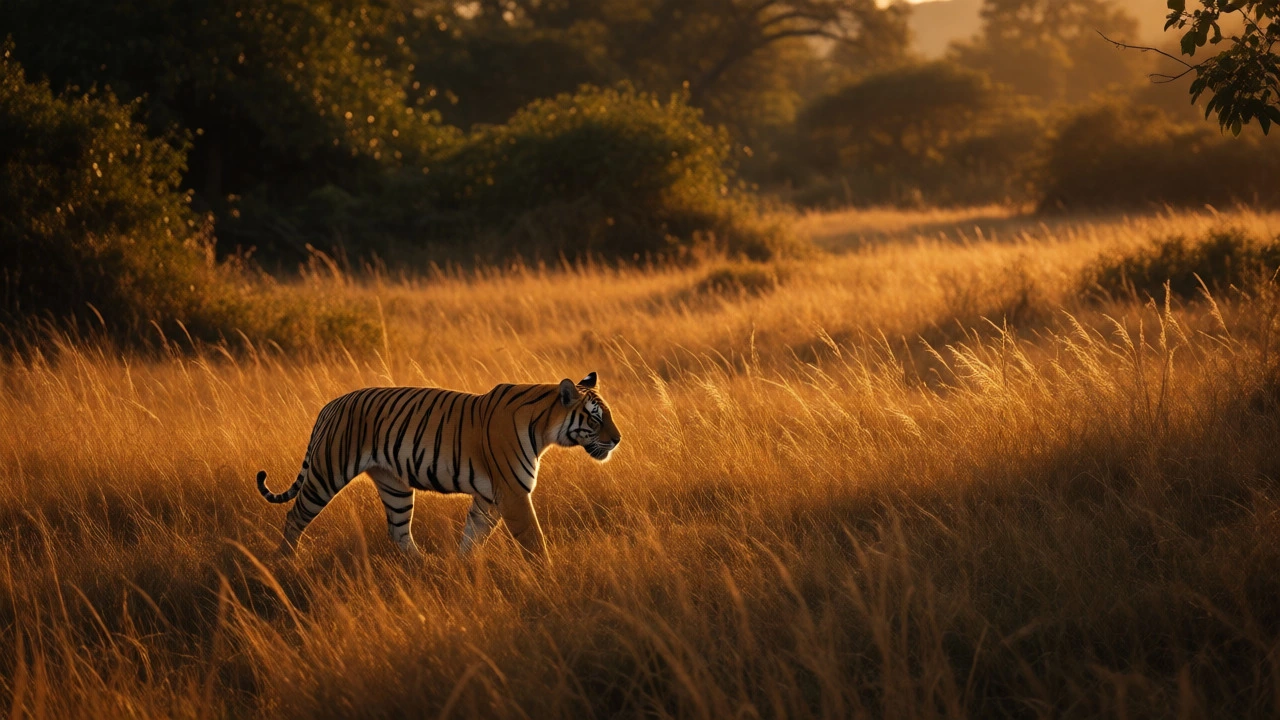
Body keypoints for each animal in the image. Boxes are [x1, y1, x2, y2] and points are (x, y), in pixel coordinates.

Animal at [255, 372, 620, 559]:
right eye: (595, 418)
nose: (617, 440)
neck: (545, 427)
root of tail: (330, 405)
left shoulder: (489, 498)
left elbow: (473, 536)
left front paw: (462, 569)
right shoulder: (514, 494)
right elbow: (534, 541)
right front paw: (548, 575)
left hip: (395, 487)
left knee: (398, 532)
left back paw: (425, 567)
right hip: (327, 472)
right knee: (294, 517)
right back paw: (286, 563)